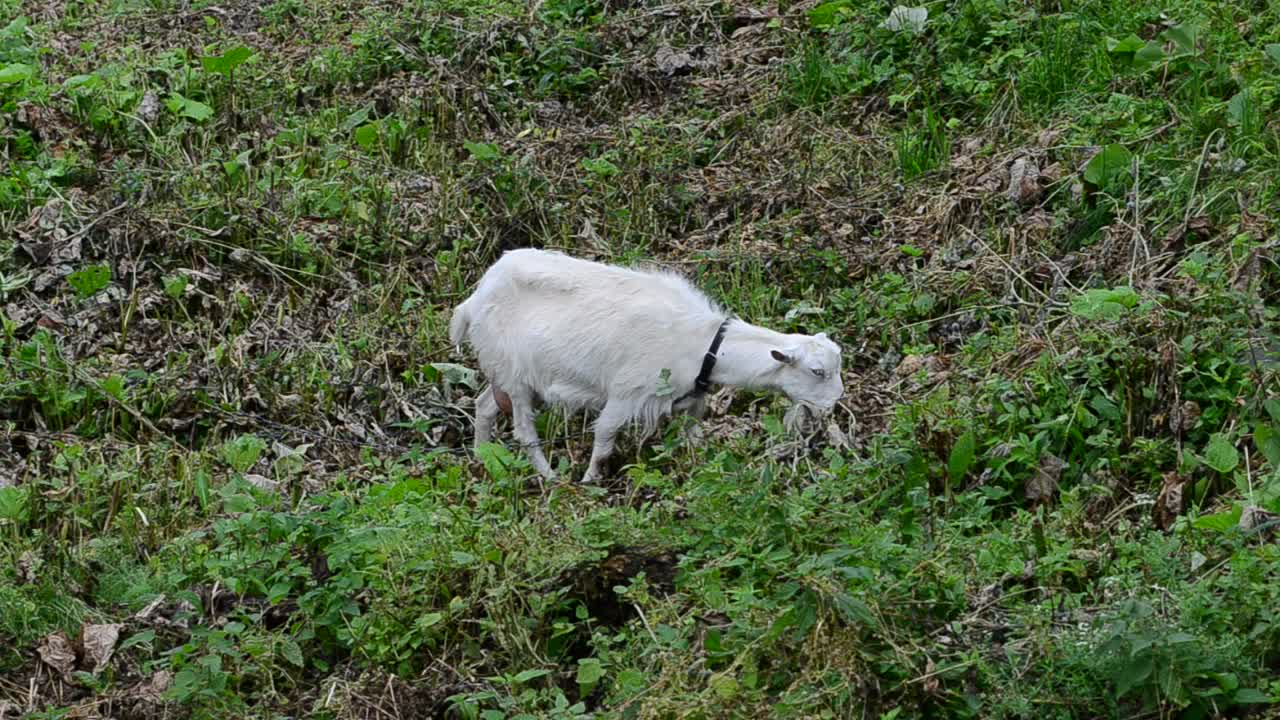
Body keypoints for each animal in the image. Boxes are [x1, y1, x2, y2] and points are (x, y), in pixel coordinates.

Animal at [448, 248, 844, 484]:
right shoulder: (627, 394)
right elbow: (604, 439)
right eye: (817, 371)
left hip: (504, 373)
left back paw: (483, 459)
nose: (833, 406)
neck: (700, 343)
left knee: (484, 407)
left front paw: (704, 469)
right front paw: (590, 482)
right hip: (515, 374)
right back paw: (550, 478)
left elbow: (693, 437)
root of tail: (473, 299)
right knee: (524, 431)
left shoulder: (690, 402)